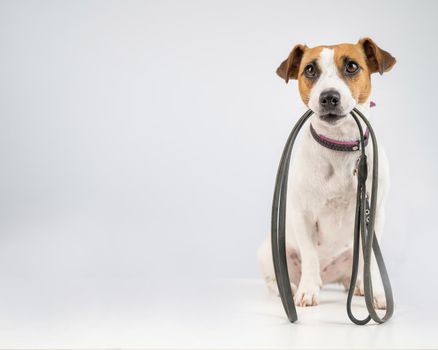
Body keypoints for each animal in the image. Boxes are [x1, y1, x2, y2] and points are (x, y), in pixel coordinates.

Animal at [258, 37, 396, 308]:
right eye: (310, 70)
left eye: (352, 66)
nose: (329, 97)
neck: (339, 146)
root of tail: (330, 275)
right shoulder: (302, 215)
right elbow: (310, 256)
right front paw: (307, 290)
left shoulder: (374, 214)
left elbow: (371, 262)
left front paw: (375, 293)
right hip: (270, 251)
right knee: (274, 281)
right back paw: (290, 288)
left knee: (355, 270)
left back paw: (359, 286)